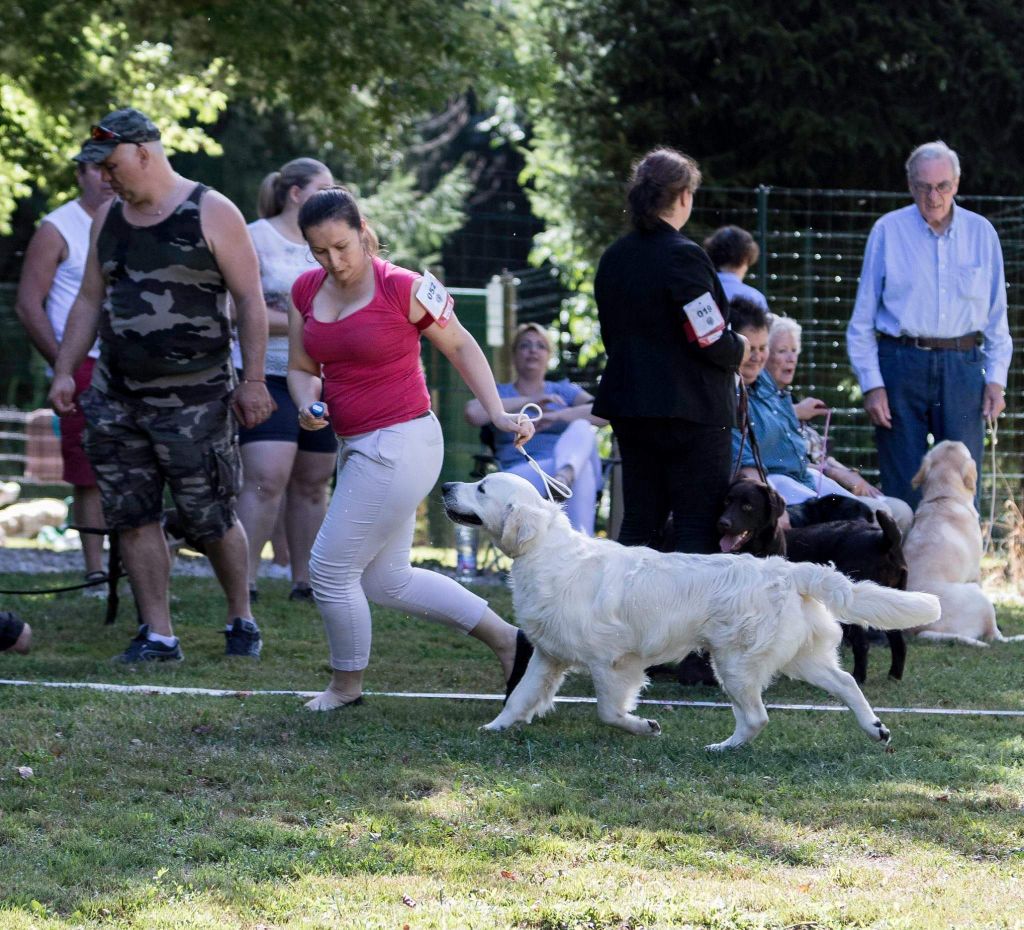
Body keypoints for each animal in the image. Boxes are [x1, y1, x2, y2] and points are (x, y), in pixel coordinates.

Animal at [716, 479, 909, 684]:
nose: (723, 523)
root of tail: (882, 539)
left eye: (747, 506)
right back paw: (894, 676)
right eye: (727, 502)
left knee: (862, 644)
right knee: (899, 643)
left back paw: (858, 678)